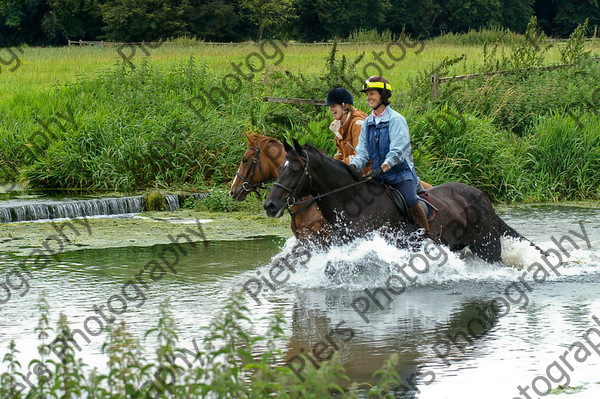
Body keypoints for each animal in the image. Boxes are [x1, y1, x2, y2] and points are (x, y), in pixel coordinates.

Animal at [262, 141, 544, 266]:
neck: (352, 203)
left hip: (488, 247)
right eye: (280, 168)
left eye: (295, 170)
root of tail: (481, 195)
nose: (270, 205)